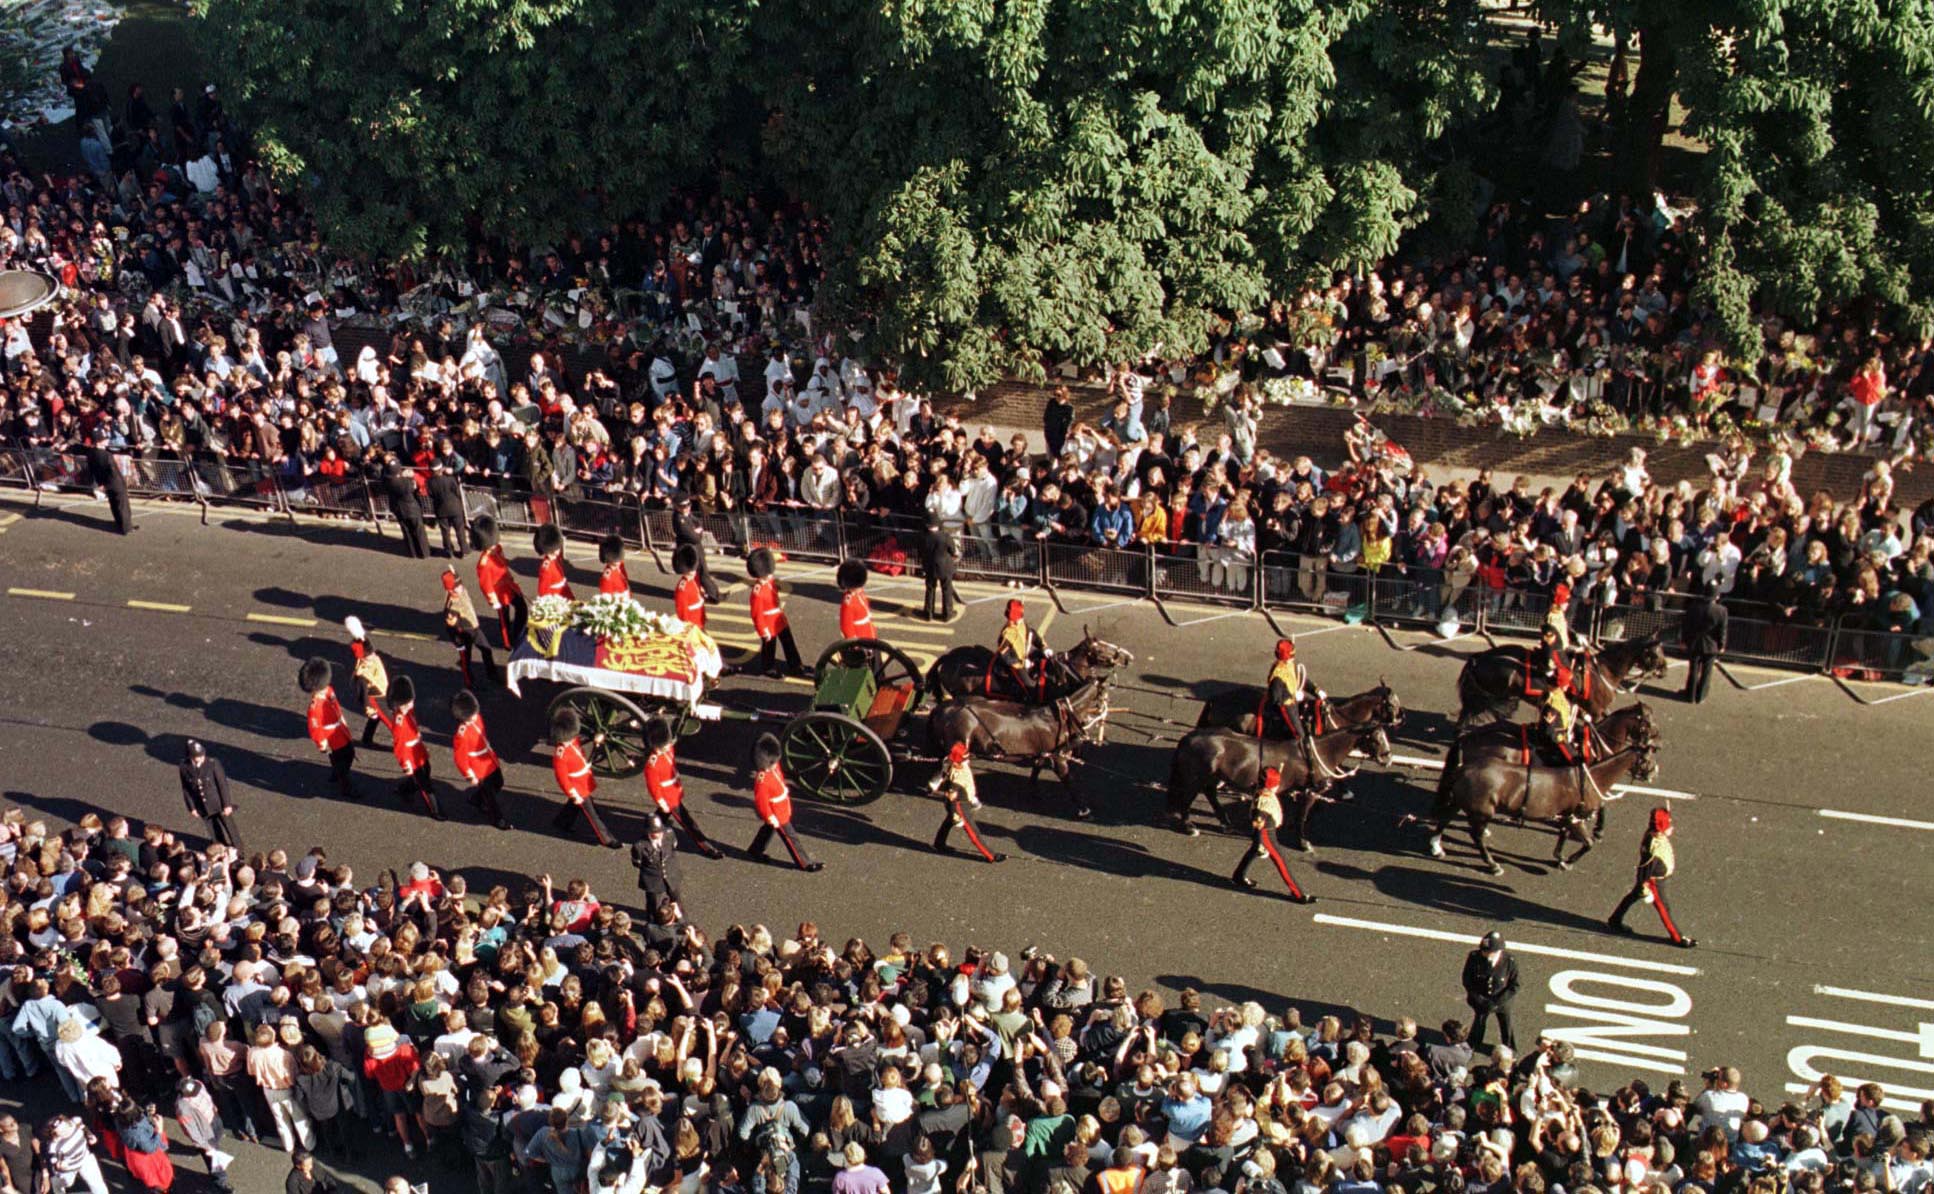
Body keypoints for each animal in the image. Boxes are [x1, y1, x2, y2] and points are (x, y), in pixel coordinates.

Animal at [924, 673, 1113, 816]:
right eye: (1105, 690)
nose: (1105, 711)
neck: (1058, 718)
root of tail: (942, 708)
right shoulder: (1058, 757)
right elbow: (1068, 781)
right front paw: (1084, 809)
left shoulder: (1042, 753)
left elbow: (1036, 771)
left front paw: (1034, 793)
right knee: (948, 765)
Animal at [1423, 716, 1663, 874]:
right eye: (1648, 756)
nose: (1654, 772)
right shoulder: (1576, 818)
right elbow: (1588, 843)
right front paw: (1570, 859)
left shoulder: (1568, 817)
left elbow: (1564, 837)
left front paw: (1560, 857)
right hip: (1481, 811)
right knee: (1476, 836)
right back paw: (1492, 864)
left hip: (1462, 801)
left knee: (1446, 817)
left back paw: (1437, 846)